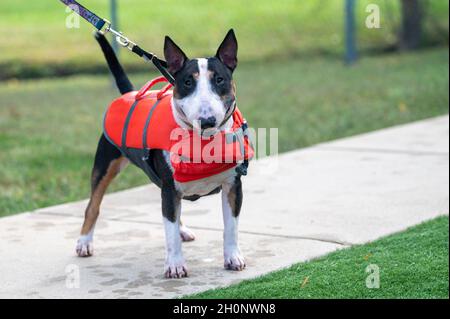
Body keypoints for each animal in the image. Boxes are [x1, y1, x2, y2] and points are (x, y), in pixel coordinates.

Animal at [74, 30, 250, 280]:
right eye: (187, 82)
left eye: (219, 80)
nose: (207, 120)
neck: (202, 144)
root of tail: (129, 92)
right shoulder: (169, 186)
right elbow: (170, 232)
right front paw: (175, 266)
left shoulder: (233, 185)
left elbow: (231, 226)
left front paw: (233, 258)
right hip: (106, 163)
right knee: (93, 205)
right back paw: (84, 242)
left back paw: (183, 229)